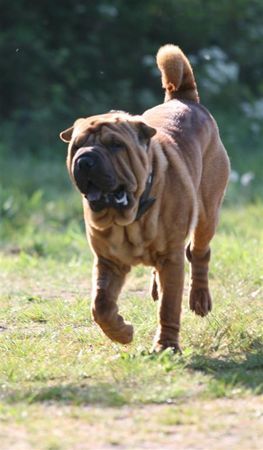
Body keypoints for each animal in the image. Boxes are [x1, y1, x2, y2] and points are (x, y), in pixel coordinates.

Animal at [60, 44, 231, 352]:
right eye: (77, 146)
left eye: (115, 145)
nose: (85, 160)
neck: (129, 217)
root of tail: (184, 99)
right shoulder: (108, 261)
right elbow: (100, 305)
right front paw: (122, 332)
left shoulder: (171, 259)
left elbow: (169, 307)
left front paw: (166, 347)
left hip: (208, 213)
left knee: (199, 253)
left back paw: (199, 299)